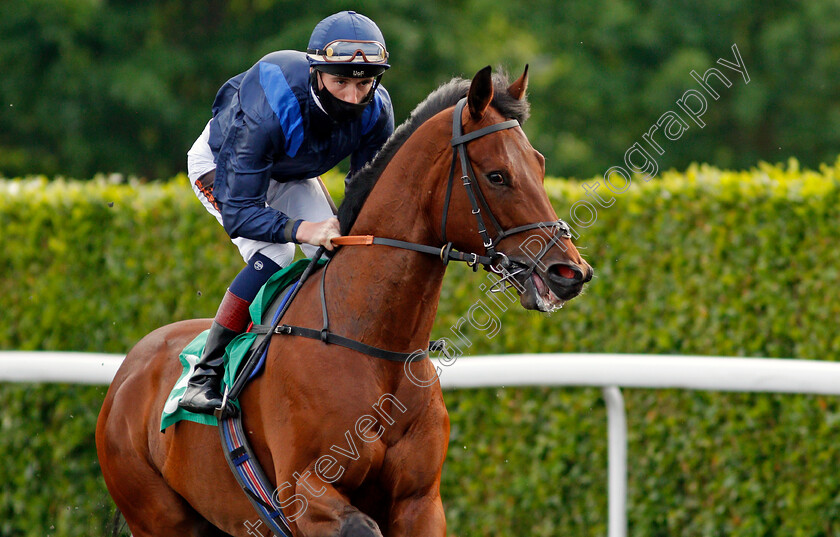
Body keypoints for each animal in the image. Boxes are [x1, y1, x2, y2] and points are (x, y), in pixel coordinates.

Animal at [97, 67, 592, 536]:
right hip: (159, 517)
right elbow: (358, 525)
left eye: (540, 165)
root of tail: (129, 370)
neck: (374, 346)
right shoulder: (302, 490)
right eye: (497, 176)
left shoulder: (419, 502)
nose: (570, 272)